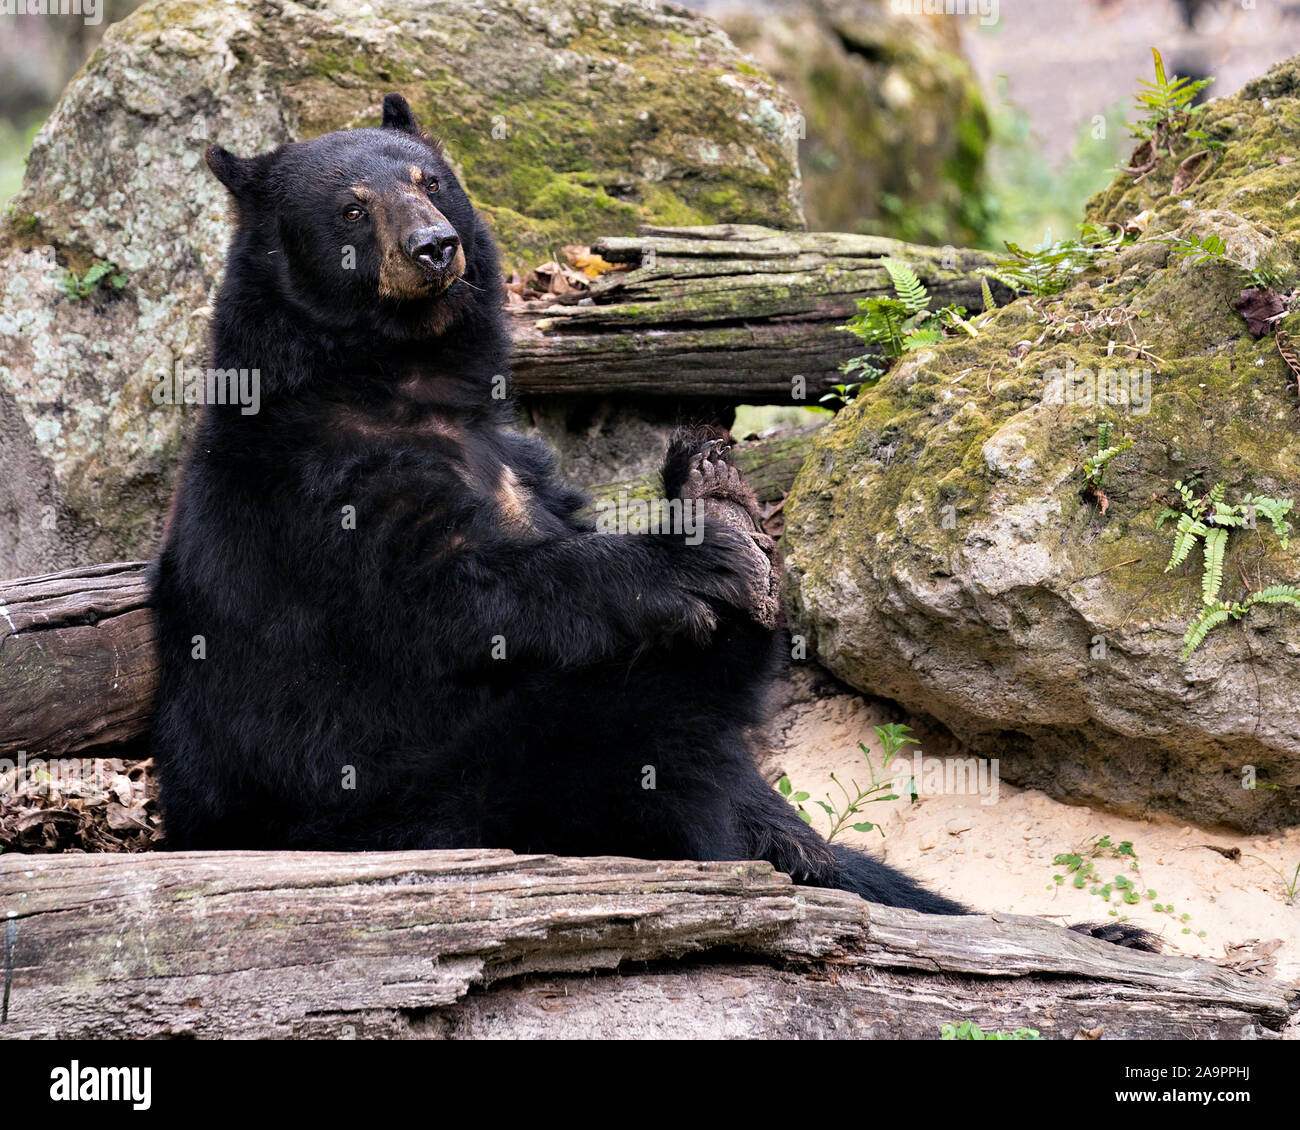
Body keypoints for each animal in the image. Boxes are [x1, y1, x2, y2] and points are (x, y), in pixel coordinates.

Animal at [152, 94, 1144, 941]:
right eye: (353, 211)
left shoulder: (520, 462)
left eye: (430, 180)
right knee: (629, 734)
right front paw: (692, 557)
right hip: (432, 801)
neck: (405, 383)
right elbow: (458, 598)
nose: (435, 248)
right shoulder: (325, 494)